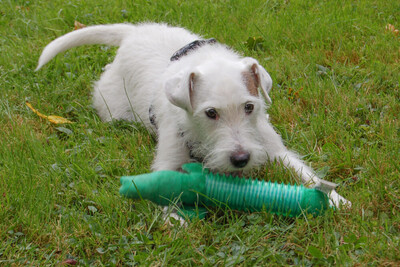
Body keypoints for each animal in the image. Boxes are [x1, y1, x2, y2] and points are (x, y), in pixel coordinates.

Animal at [36, 23, 350, 209]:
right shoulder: (168, 159)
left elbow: (304, 172)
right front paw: (176, 222)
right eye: (210, 113)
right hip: (111, 106)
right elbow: (163, 187)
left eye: (249, 107)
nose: (241, 159)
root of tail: (133, 32)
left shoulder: (275, 150)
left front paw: (337, 200)